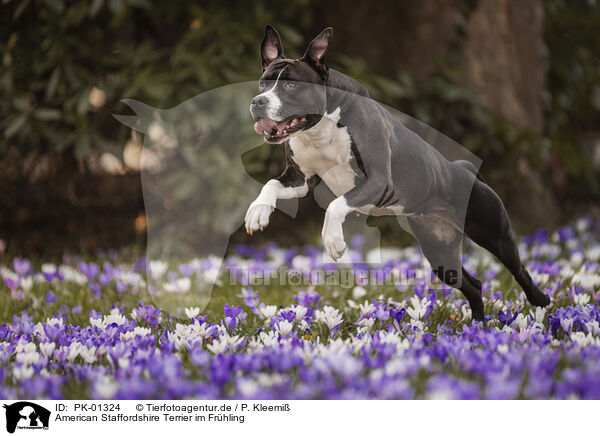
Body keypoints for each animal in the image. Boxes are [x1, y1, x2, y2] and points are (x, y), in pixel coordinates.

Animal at [243, 26, 548, 320]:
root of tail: (466, 169)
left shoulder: (378, 182)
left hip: (495, 235)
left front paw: (333, 240)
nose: (258, 101)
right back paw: (478, 328)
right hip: (440, 252)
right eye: (263, 83)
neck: (320, 128)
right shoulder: (300, 179)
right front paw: (257, 213)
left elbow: (335, 205)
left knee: (521, 272)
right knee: (473, 285)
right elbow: (271, 184)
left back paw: (541, 308)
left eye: (291, 84)